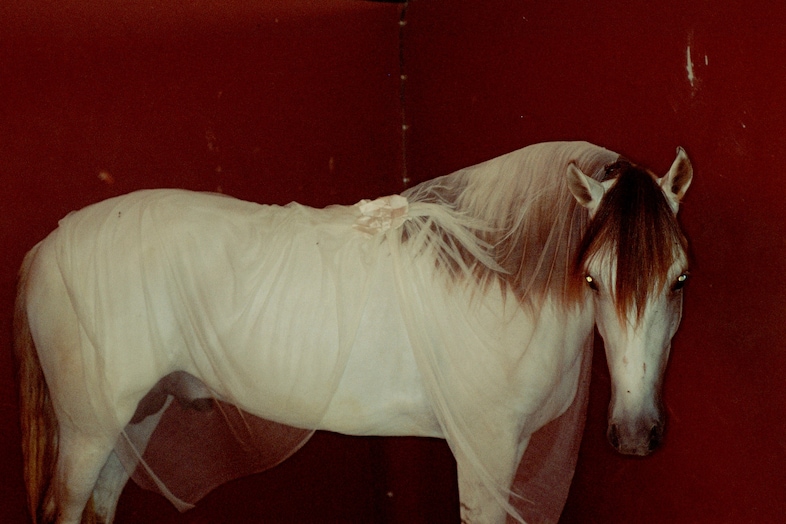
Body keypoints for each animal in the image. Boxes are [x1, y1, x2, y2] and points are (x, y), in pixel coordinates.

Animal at [13, 141, 692, 524]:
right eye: (593, 280)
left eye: (680, 279)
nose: (636, 434)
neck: (498, 283)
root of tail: (45, 247)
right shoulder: (486, 455)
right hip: (88, 429)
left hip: (134, 417)